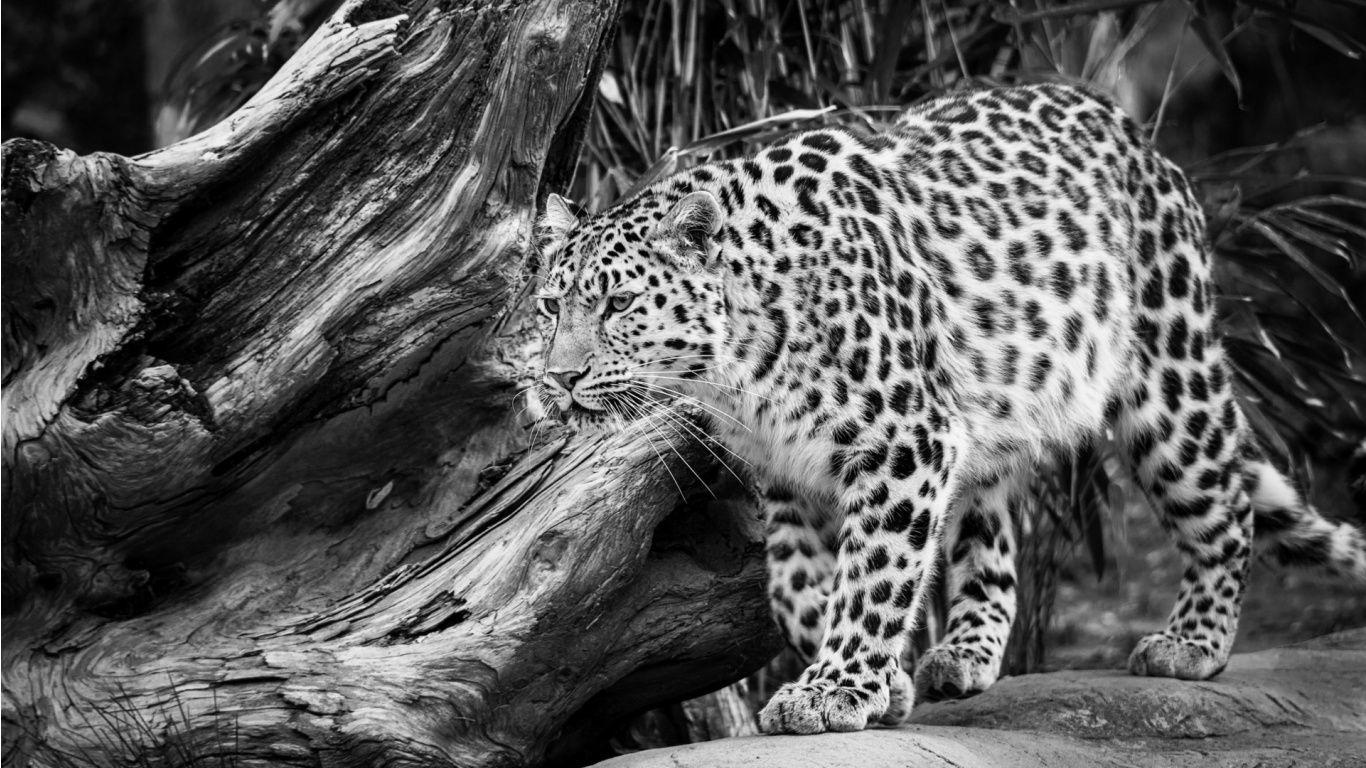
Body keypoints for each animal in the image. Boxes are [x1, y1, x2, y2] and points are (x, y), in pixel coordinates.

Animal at [526, 82, 1366, 735]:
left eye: (619, 304)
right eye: (548, 306)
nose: (559, 379)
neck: (733, 371)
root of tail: (1135, 132)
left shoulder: (904, 440)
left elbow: (874, 571)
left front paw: (834, 691)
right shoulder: (790, 474)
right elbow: (796, 588)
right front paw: (880, 683)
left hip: (1168, 375)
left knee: (1225, 504)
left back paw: (1193, 642)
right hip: (992, 418)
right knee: (993, 544)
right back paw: (964, 655)